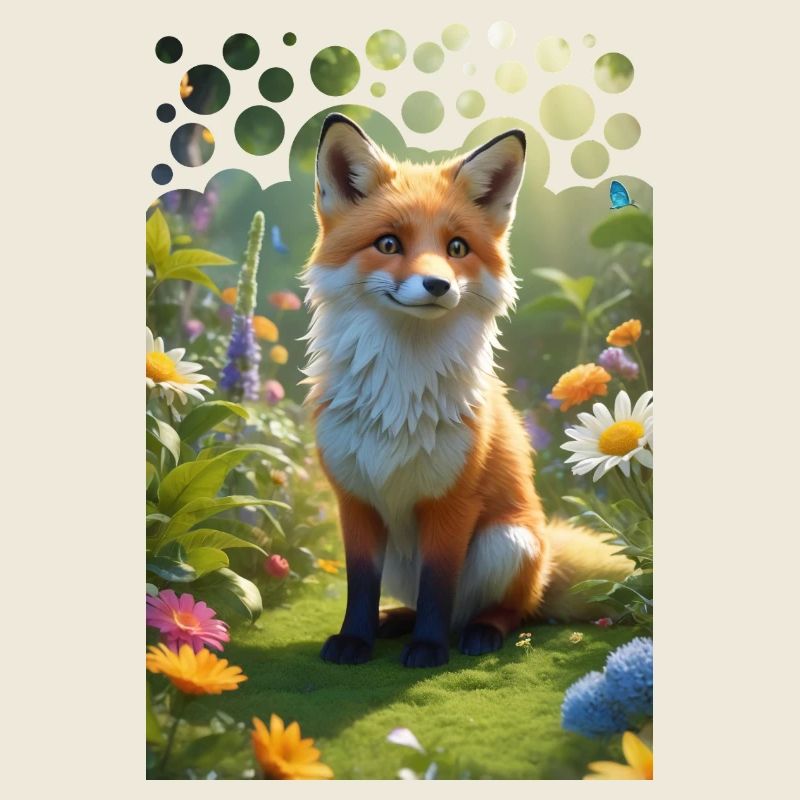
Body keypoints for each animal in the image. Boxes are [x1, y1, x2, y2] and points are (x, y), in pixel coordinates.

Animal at [301, 113, 632, 668]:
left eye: (456, 248)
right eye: (388, 244)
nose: (438, 285)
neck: (400, 394)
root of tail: (547, 556)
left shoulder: (453, 503)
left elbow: (439, 585)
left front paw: (429, 650)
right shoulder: (356, 499)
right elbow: (361, 586)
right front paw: (354, 640)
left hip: (506, 541)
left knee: (507, 610)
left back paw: (479, 633)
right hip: (405, 556)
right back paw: (397, 621)